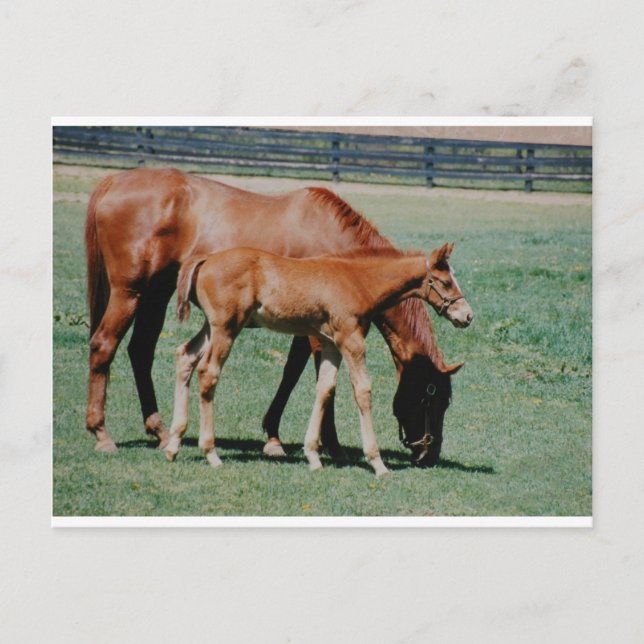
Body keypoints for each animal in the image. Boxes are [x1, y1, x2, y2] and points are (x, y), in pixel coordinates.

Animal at [164, 244, 472, 475]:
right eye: (446, 282)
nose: (467, 315)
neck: (358, 281)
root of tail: (207, 258)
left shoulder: (330, 343)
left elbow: (325, 388)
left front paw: (313, 455)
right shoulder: (351, 340)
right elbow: (363, 391)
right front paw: (377, 462)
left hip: (212, 327)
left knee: (185, 356)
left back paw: (173, 444)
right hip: (226, 328)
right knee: (208, 372)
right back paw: (210, 452)